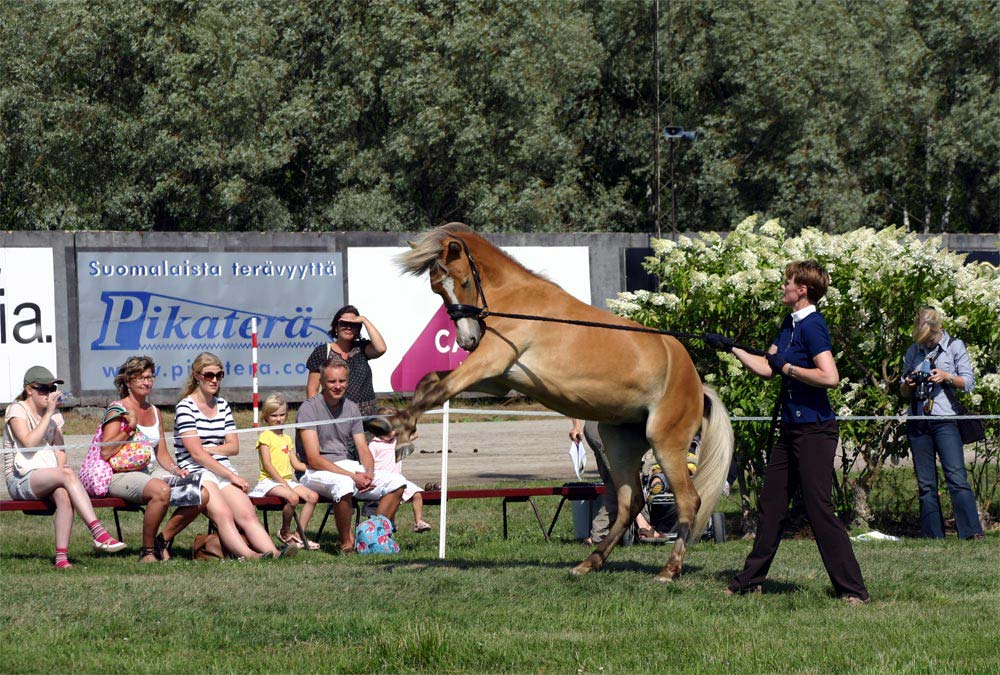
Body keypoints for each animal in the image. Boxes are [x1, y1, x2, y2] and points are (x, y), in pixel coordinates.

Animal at [392, 222, 736, 580]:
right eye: (437, 290)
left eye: (464, 282)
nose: (467, 340)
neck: (517, 301)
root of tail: (697, 385)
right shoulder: (498, 379)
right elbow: (428, 382)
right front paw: (403, 437)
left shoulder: (490, 362)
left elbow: (438, 390)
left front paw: (391, 426)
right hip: (620, 443)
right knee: (631, 503)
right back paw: (589, 562)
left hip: (665, 442)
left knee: (689, 501)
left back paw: (669, 569)